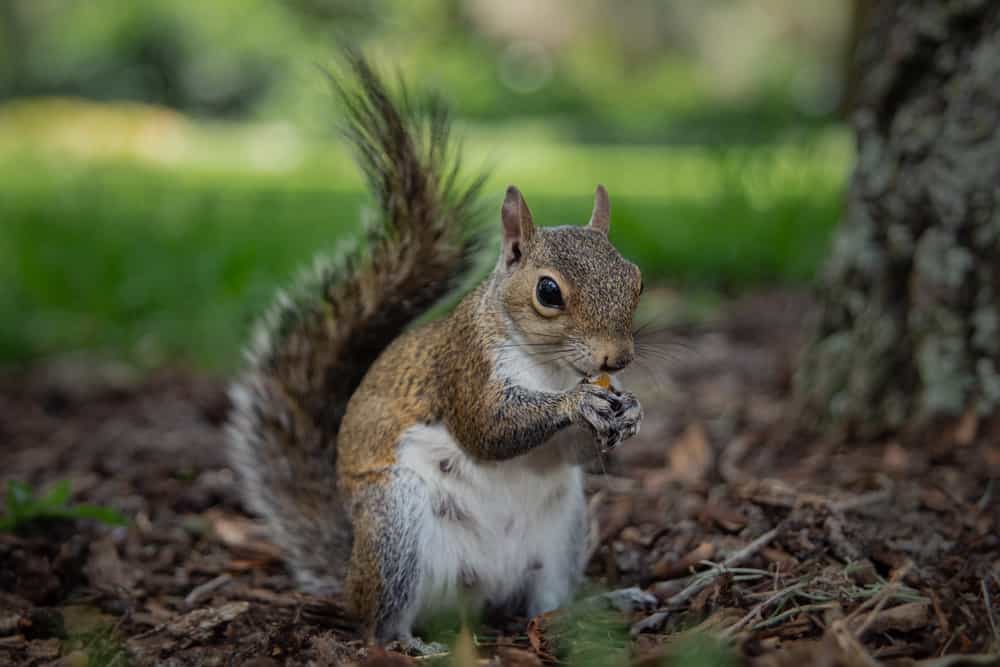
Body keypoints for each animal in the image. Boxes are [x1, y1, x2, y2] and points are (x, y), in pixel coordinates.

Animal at [227, 52, 644, 650]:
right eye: (548, 292)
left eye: (636, 280)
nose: (617, 359)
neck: (551, 369)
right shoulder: (463, 365)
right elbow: (488, 428)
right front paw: (576, 405)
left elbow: (571, 451)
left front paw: (629, 412)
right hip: (395, 524)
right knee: (376, 620)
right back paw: (411, 645)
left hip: (561, 533)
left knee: (545, 602)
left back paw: (599, 605)